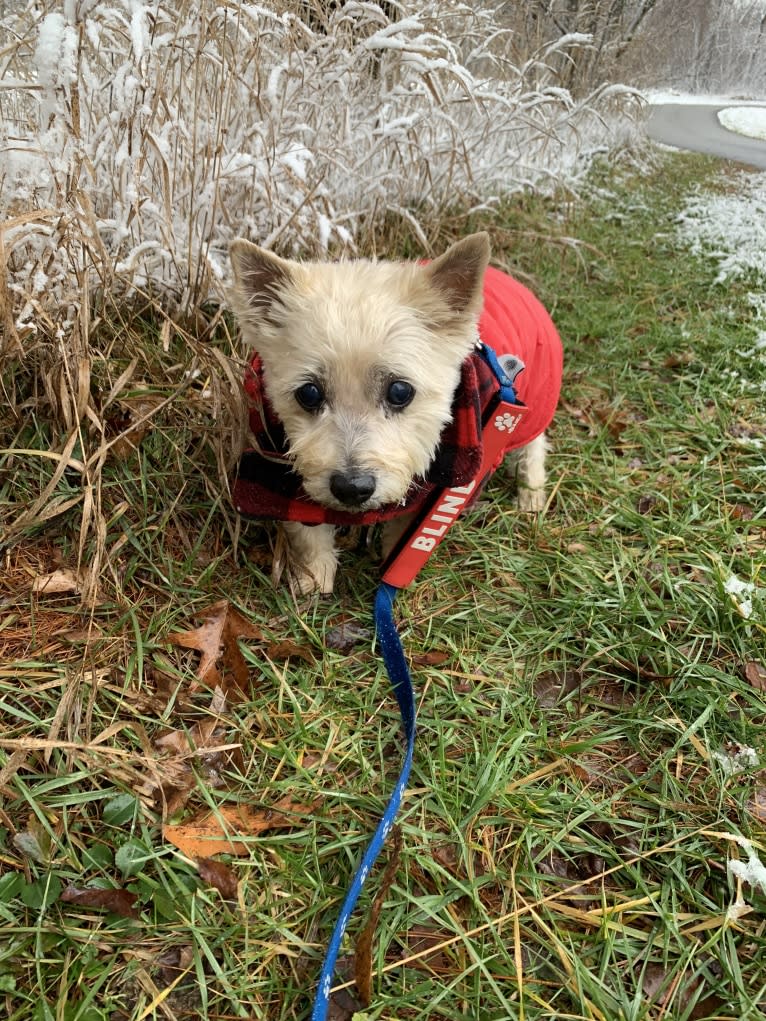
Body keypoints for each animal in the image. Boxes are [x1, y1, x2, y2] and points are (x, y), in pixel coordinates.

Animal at [227, 233, 563, 596]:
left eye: (400, 391)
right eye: (309, 393)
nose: (352, 488)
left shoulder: (436, 493)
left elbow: (404, 538)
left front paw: (396, 577)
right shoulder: (283, 481)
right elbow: (308, 533)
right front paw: (313, 580)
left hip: (532, 402)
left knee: (533, 445)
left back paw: (531, 494)